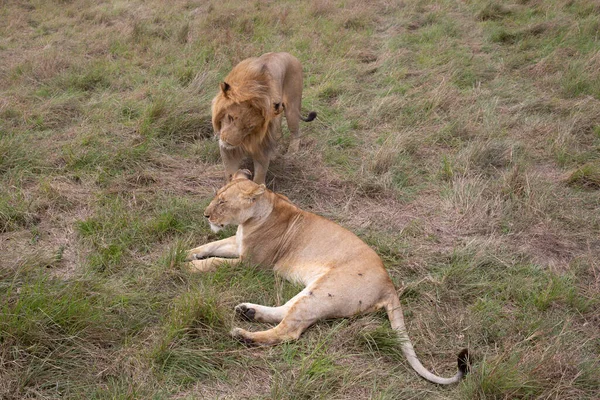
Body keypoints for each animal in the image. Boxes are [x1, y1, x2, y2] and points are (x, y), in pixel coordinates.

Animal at [185, 169, 472, 384]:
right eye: (216, 197)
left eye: (223, 202)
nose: (206, 215)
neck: (253, 218)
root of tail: (389, 284)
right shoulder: (236, 244)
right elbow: (209, 247)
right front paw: (183, 253)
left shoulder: (251, 263)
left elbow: (215, 262)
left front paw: (186, 267)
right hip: (314, 291)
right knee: (286, 311)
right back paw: (248, 312)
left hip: (324, 291)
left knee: (289, 331)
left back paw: (243, 334)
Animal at [211, 51, 316, 184]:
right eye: (230, 117)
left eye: (250, 127)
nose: (229, 142)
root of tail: (287, 54)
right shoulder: (228, 151)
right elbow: (231, 174)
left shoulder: (262, 147)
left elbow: (259, 176)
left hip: (292, 108)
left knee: (295, 132)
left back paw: (291, 153)